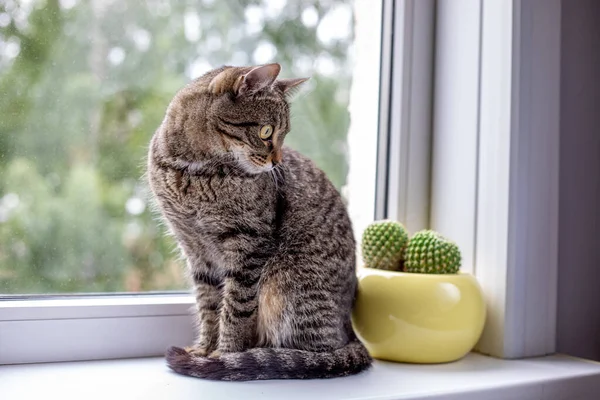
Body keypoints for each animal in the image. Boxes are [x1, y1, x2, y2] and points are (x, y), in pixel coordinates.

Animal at [145, 63, 370, 382]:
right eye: (266, 131)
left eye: (284, 135)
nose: (276, 161)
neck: (194, 173)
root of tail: (350, 331)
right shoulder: (195, 248)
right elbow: (208, 305)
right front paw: (204, 349)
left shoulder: (249, 245)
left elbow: (235, 309)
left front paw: (225, 354)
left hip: (284, 284)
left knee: (314, 352)